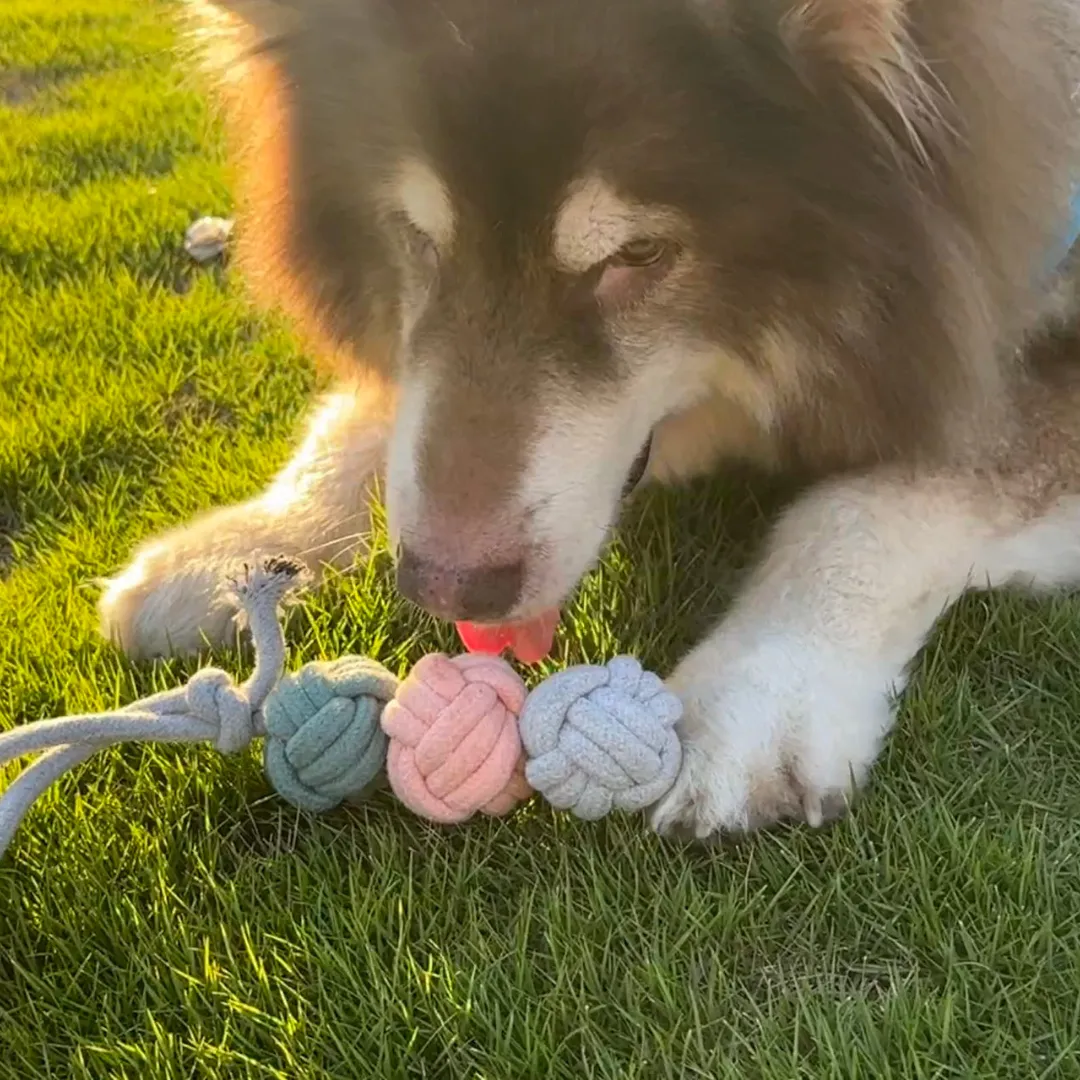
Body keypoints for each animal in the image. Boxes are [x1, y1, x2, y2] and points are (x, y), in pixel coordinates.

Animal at [103, 0, 1080, 838]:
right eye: (416, 239)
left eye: (638, 254)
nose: (446, 587)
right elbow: (376, 416)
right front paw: (248, 547)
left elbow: (862, 506)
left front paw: (759, 689)